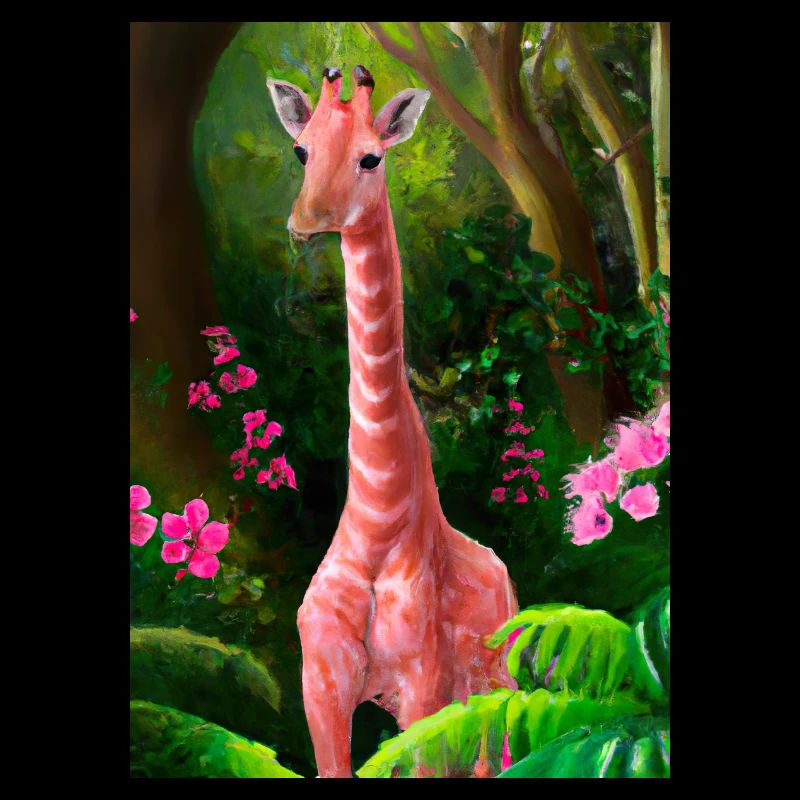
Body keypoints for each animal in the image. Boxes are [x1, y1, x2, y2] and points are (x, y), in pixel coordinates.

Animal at [267, 65, 518, 778]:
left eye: (371, 157)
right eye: (301, 150)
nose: (305, 222)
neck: (377, 524)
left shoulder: (423, 688)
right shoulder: (321, 686)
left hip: (491, 689)